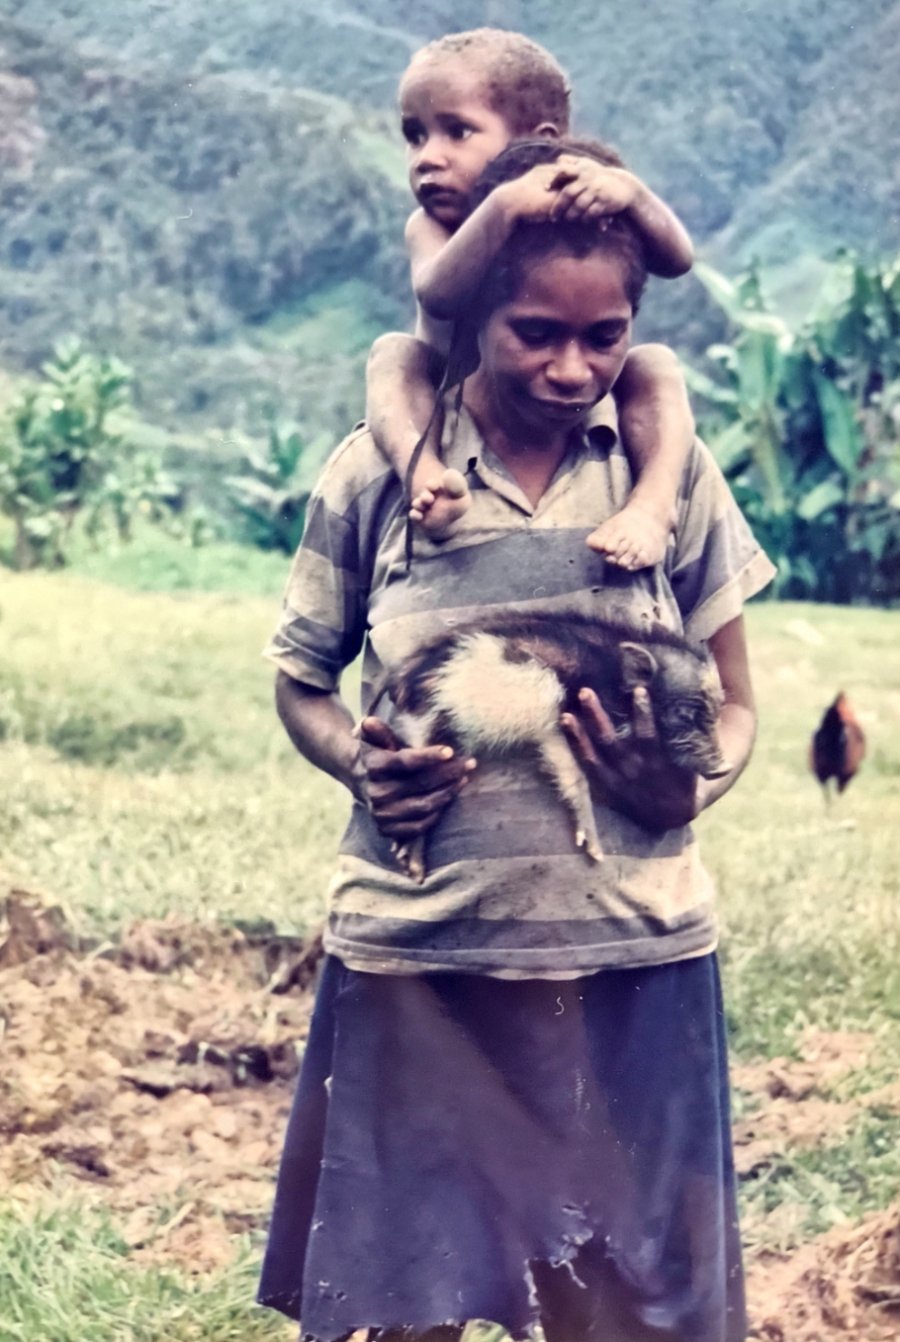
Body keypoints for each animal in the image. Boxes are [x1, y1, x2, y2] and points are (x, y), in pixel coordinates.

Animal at [371, 611, 728, 882]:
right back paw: (414, 869)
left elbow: (567, 771)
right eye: (684, 713)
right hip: (440, 724)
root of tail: (403, 681)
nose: (722, 767)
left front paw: (592, 851)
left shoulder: (554, 728)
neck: (610, 680)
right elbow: (576, 777)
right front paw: (597, 855)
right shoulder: (556, 715)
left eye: (717, 710)